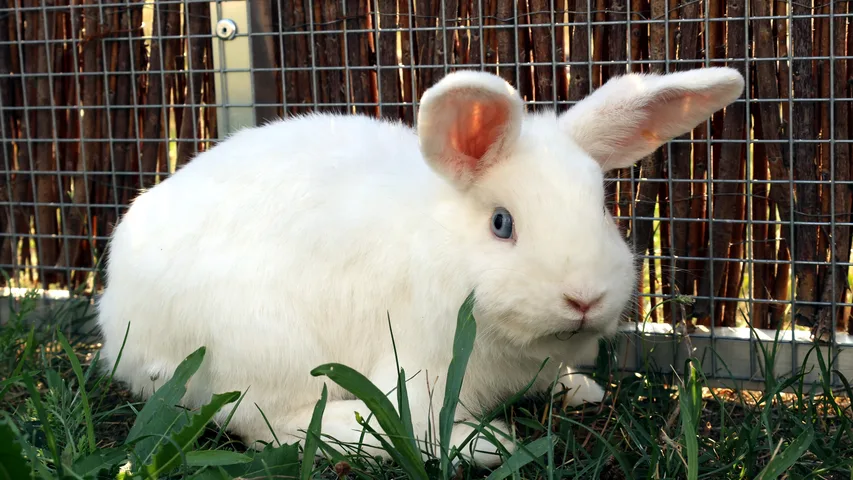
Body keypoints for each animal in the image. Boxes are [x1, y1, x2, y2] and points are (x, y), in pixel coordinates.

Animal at [95, 66, 744, 468]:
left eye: (602, 207)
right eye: (502, 223)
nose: (583, 299)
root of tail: (118, 317)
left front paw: (578, 389)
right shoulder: (418, 367)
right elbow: (416, 423)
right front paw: (483, 443)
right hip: (261, 345)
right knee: (270, 426)